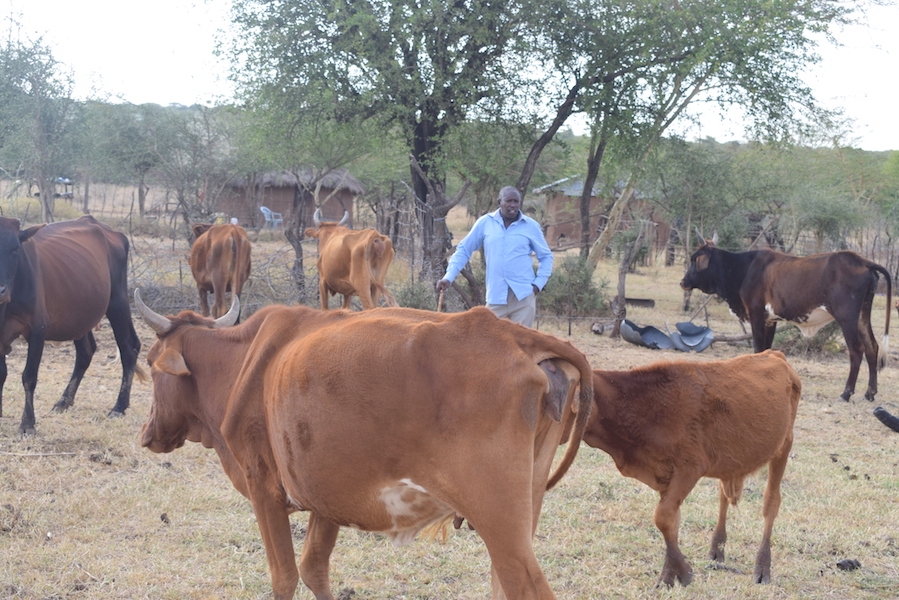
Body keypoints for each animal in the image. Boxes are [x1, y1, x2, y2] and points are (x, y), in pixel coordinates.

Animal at [0, 216, 142, 436]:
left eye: (15, 249)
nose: (1, 290)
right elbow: (2, 374)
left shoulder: (37, 330)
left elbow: (29, 377)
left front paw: (27, 424)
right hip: (79, 314)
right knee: (86, 351)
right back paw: (64, 401)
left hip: (117, 301)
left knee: (129, 347)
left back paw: (119, 407)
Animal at [134, 294, 596, 600]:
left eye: (151, 364)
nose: (146, 433)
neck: (242, 364)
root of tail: (513, 334)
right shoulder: (325, 499)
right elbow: (313, 569)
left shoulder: (264, 490)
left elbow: (284, 576)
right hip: (524, 506)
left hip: (498, 519)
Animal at [584, 350, 800, 588]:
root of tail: (773, 354)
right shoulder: (664, 473)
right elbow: (671, 521)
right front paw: (668, 578)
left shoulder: (689, 468)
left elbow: (663, 517)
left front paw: (681, 573)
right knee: (723, 496)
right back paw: (717, 550)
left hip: (784, 446)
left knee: (771, 502)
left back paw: (762, 567)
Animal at [684, 243, 888, 404]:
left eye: (694, 260)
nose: (683, 282)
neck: (743, 269)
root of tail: (860, 260)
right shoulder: (770, 320)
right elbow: (766, 350)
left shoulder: (757, 315)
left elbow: (758, 349)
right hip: (862, 316)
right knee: (872, 347)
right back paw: (870, 393)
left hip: (846, 317)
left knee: (857, 350)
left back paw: (846, 394)